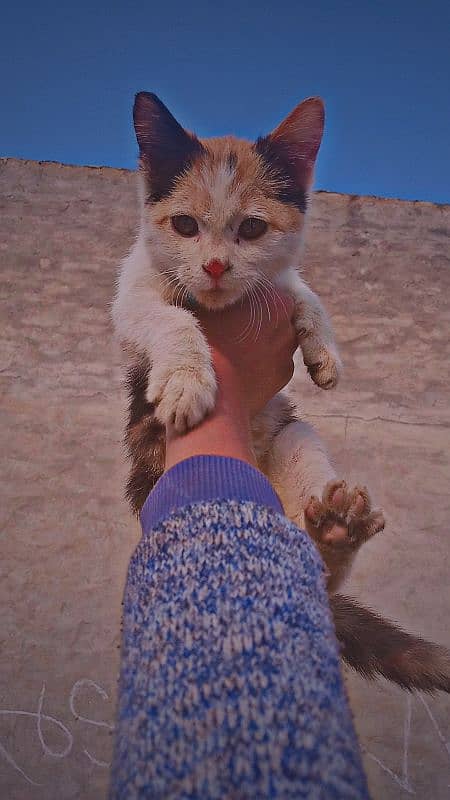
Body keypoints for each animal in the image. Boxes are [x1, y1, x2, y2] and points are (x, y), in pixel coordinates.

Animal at [113, 92, 450, 692]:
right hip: (154, 475)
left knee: (314, 565)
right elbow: (166, 316)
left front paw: (323, 350)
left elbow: (298, 287)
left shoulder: (276, 282)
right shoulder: (131, 293)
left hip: (294, 438)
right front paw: (187, 379)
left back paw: (336, 531)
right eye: (184, 225)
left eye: (251, 228)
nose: (215, 265)